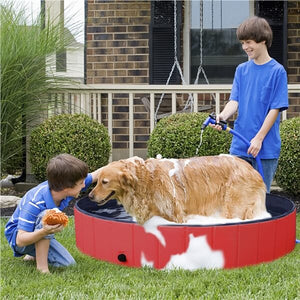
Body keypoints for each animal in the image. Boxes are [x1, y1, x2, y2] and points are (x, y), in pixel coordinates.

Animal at [88, 156, 266, 224]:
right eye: (97, 181)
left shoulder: (176, 215)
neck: (146, 180)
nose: (89, 196)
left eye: (105, 182)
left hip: (233, 206)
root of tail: (252, 169)